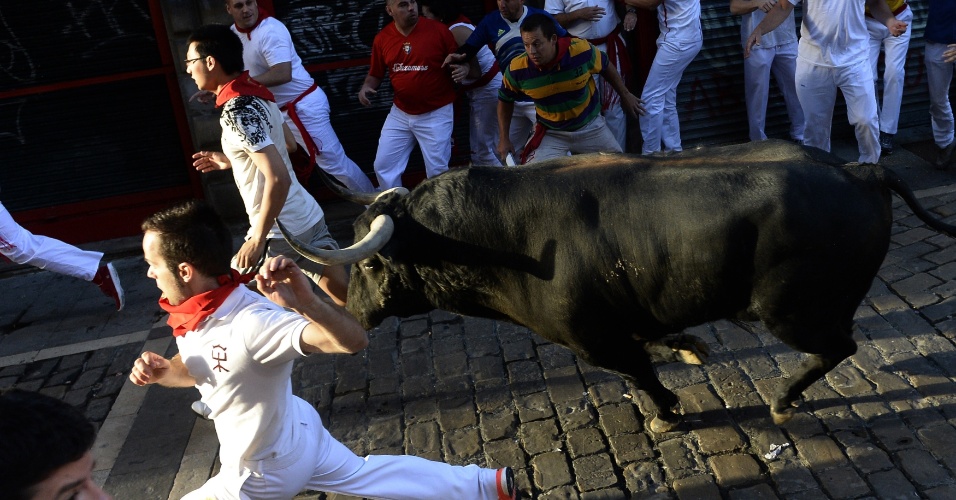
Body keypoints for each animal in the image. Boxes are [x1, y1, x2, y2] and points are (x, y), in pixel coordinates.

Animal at [278, 141, 956, 434]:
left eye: (370, 266)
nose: (353, 316)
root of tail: (861, 169)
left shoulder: (590, 337)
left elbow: (639, 372)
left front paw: (667, 414)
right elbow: (655, 345)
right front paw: (689, 348)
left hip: (791, 310)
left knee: (839, 347)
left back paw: (785, 399)